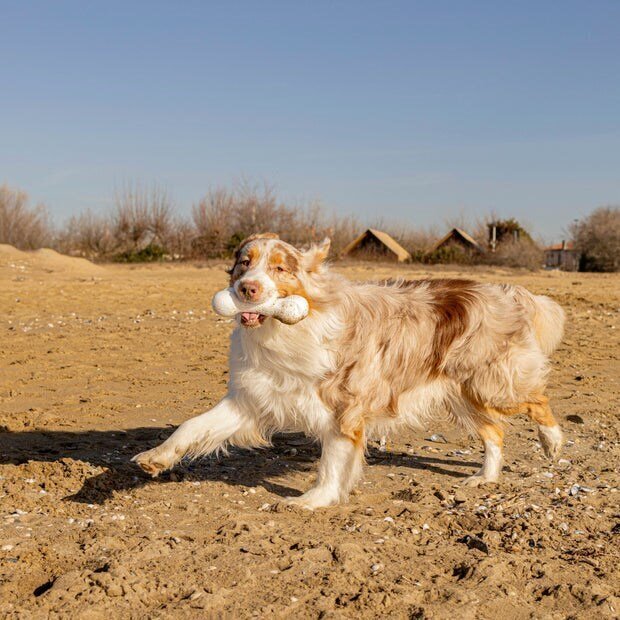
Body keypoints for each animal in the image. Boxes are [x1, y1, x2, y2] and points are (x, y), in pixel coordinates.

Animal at [133, 232, 564, 508]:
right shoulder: (252, 398)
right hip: (461, 393)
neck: (287, 329)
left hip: (493, 384)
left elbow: (332, 461)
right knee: (495, 432)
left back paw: (552, 442)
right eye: (244, 263)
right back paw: (485, 477)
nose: (247, 290)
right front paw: (156, 456)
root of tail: (508, 291)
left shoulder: (344, 407)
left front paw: (313, 500)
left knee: (537, 400)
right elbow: (193, 426)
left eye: (281, 269)